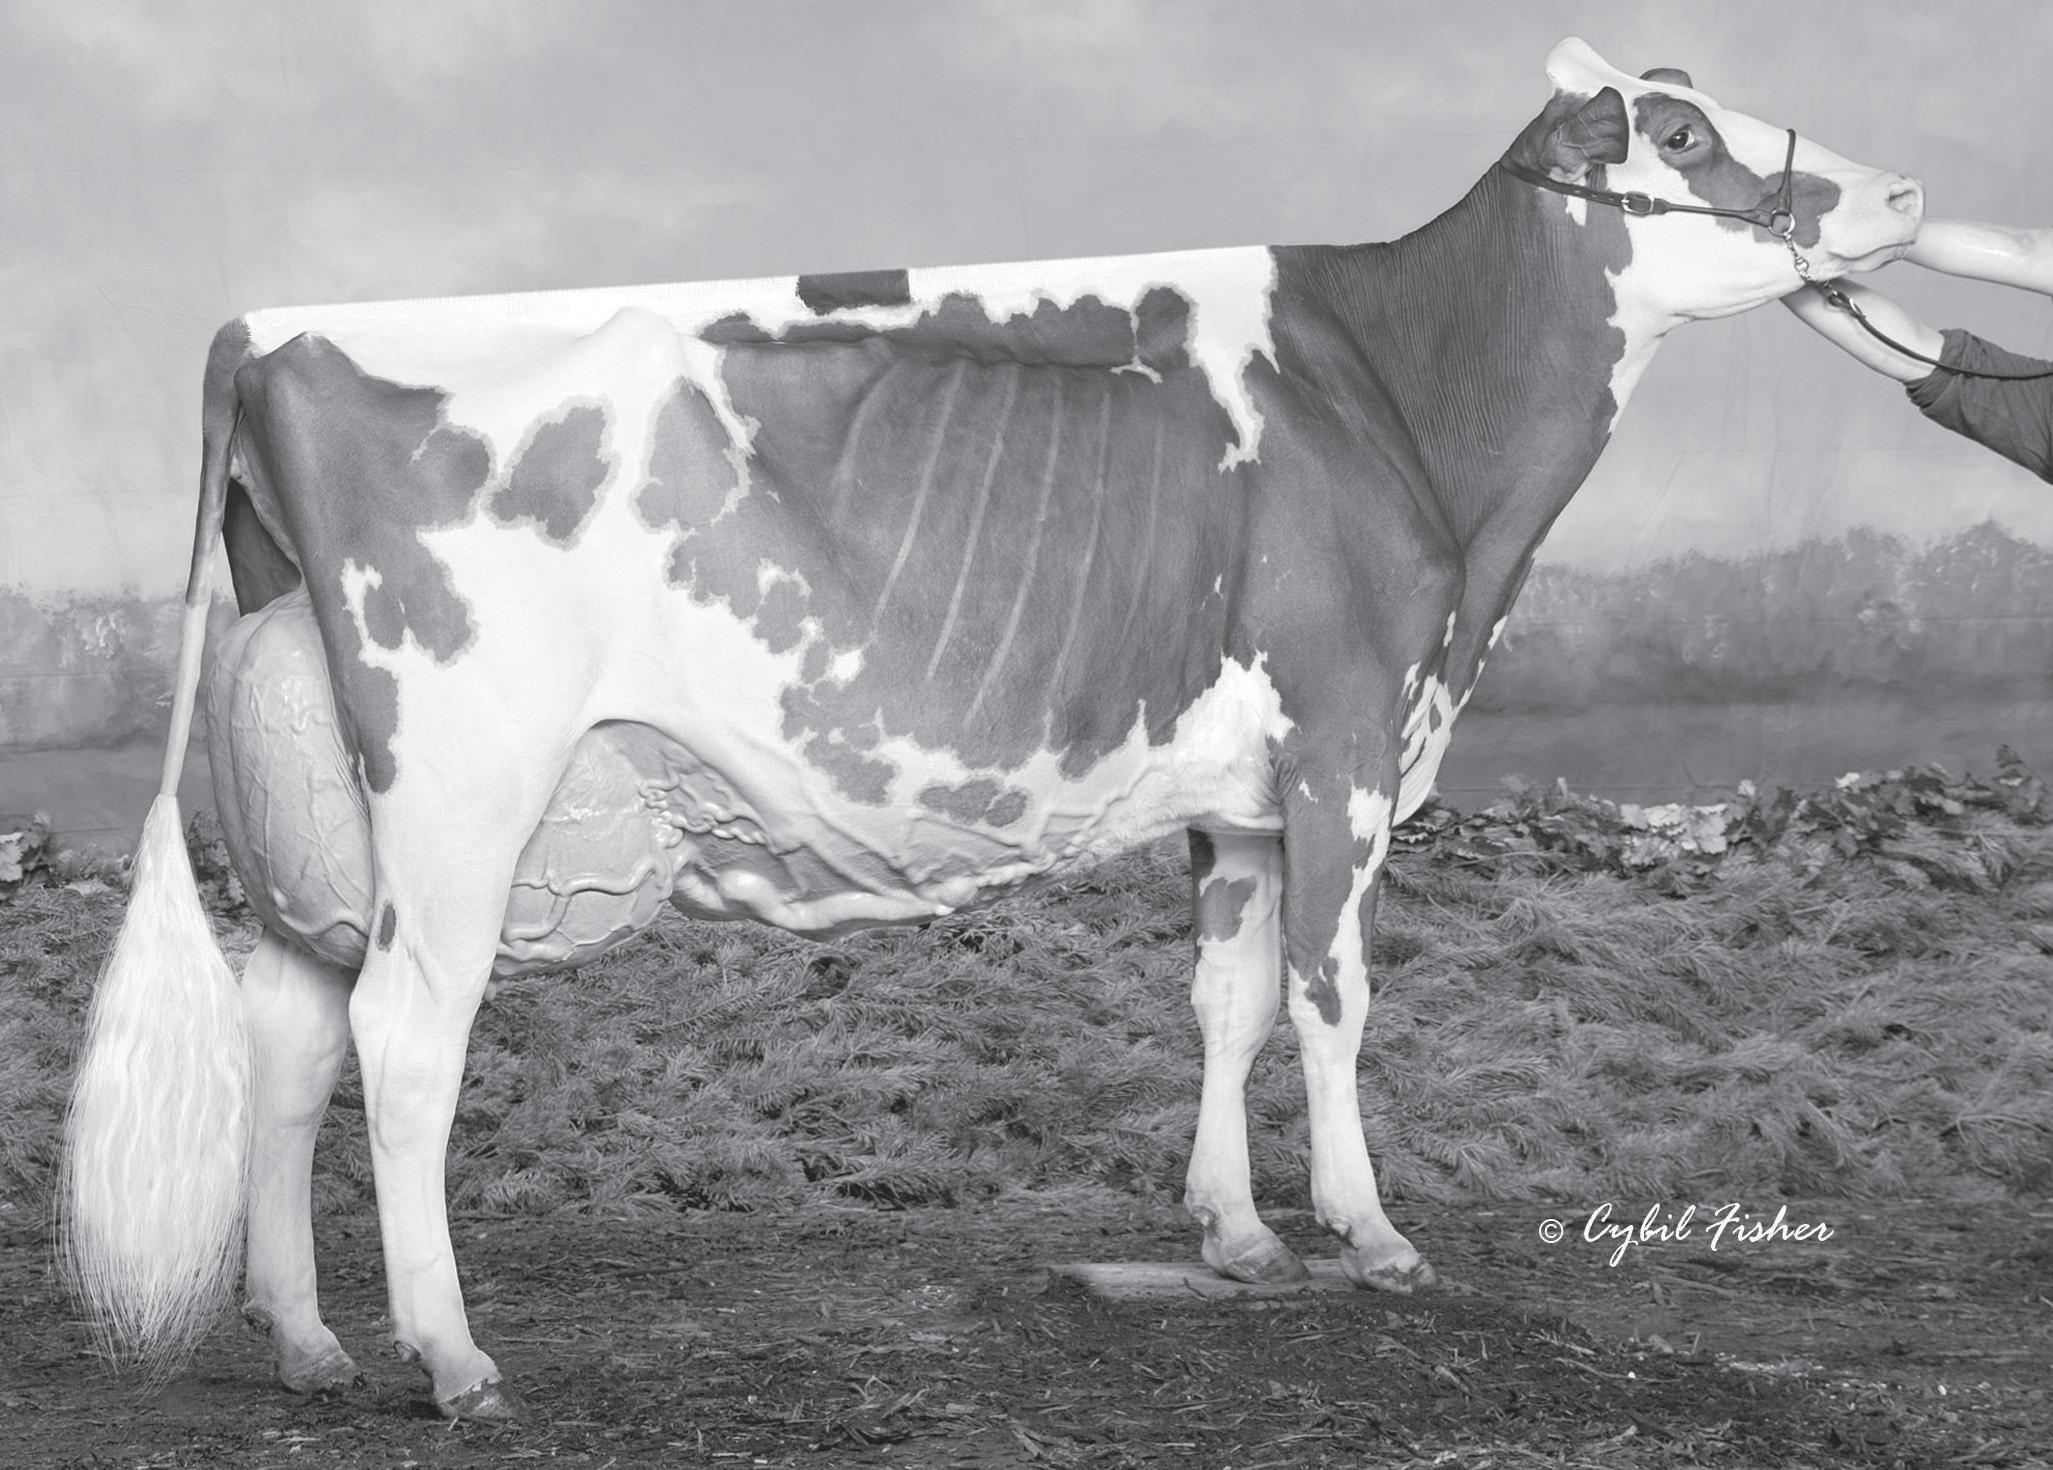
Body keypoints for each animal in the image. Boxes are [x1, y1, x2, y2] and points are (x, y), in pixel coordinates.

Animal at [59, 38, 1922, 1420]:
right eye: (1682, 129)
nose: (1904, 191)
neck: (1398, 402)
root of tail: (274, 330)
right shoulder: (1345, 735)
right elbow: (1333, 998)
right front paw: (1369, 1229)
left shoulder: (1238, 794)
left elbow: (1228, 996)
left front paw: (1234, 1233)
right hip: (459, 789)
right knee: (403, 1042)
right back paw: (448, 1356)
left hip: (323, 824)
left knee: (292, 1039)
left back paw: (308, 1345)